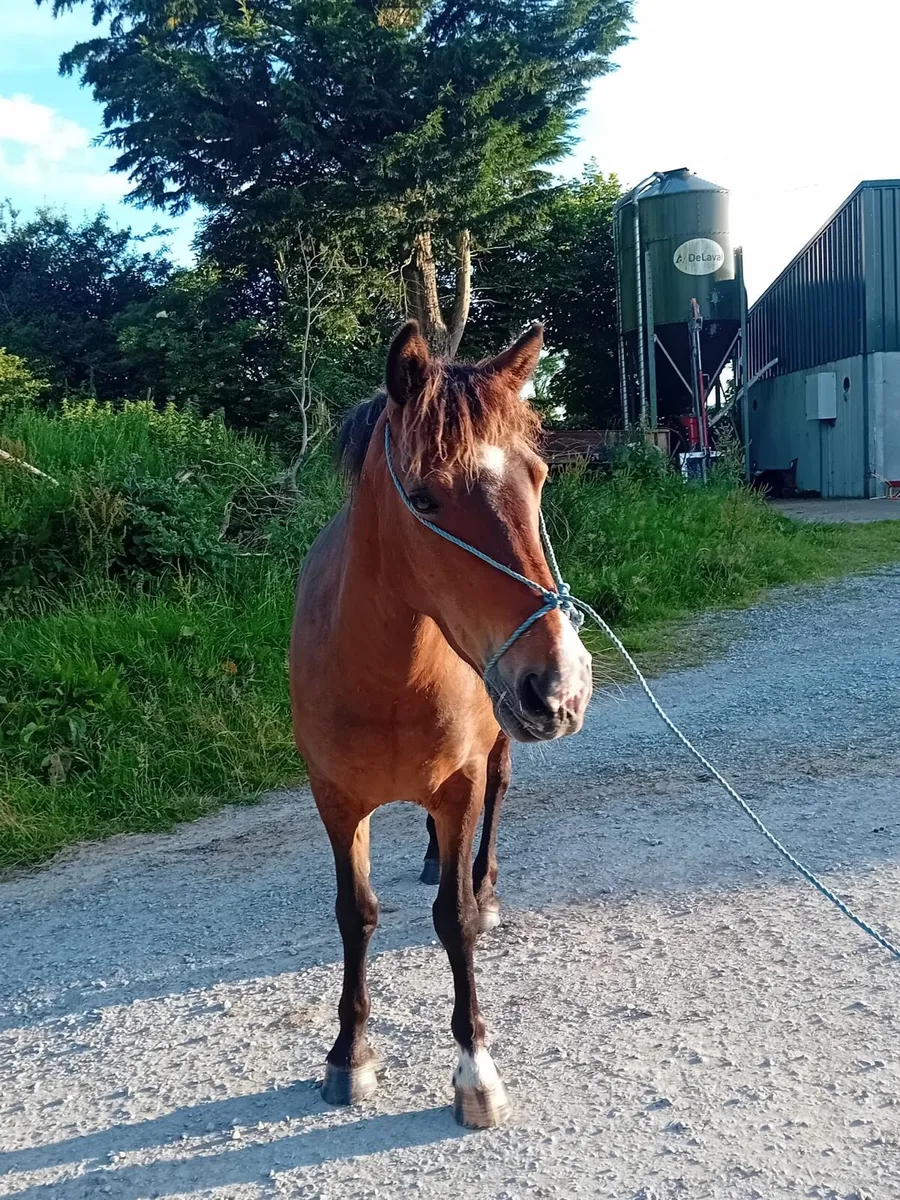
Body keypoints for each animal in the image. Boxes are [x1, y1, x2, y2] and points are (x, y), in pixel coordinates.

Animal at [290, 320, 592, 1128]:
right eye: (423, 498)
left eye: (536, 479)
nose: (561, 684)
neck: (386, 680)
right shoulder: (335, 800)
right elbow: (354, 913)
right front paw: (349, 1055)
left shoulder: (459, 783)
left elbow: (451, 919)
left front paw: (475, 1072)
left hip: (500, 739)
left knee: (498, 798)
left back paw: (484, 886)